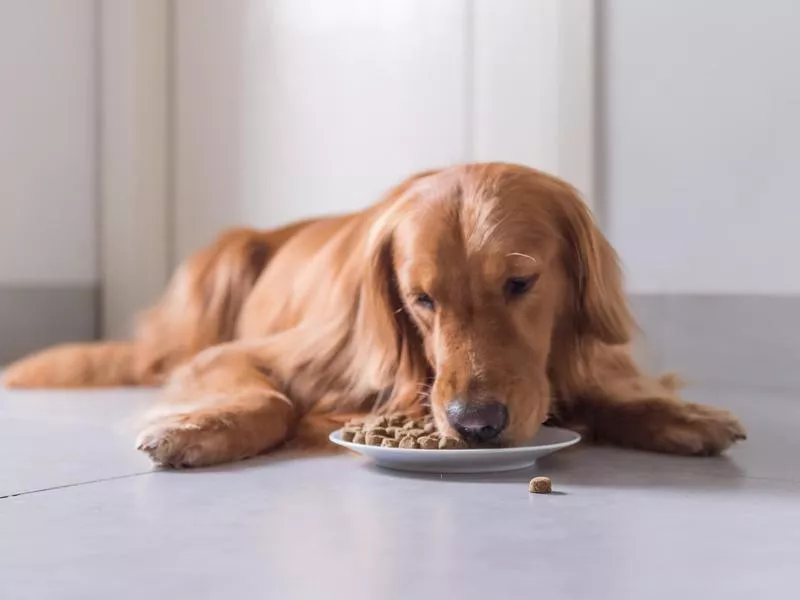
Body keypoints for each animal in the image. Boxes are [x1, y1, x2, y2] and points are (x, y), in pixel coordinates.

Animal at [3, 165, 748, 468]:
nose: (476, 426)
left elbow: (617, 389)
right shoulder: (240, 355)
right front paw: (199, 429)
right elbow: (271, 398)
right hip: (224, 259)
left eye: (520, 282)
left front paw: (680, 415)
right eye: (421, 300)